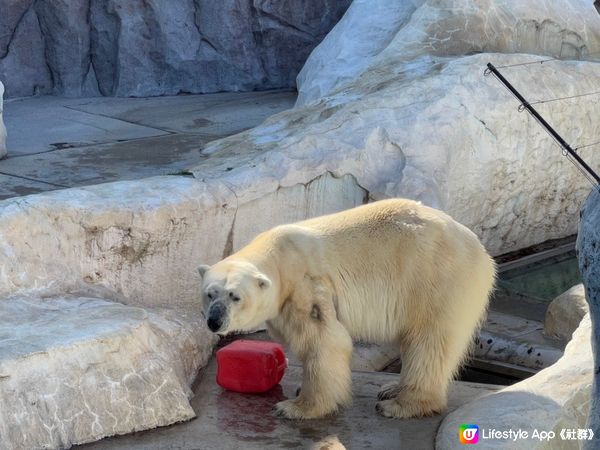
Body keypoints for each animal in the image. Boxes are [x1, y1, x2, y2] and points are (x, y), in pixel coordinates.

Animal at [199, 199, 494, 420]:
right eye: (209, 294)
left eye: (235, 296)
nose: (214, 321)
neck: (279, 256)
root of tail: (482, 253)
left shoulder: (306, 285)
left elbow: (323, 339)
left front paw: (296, 407)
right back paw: (391, 388)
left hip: (436, 280)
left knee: (429, 341)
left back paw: (400, 404)